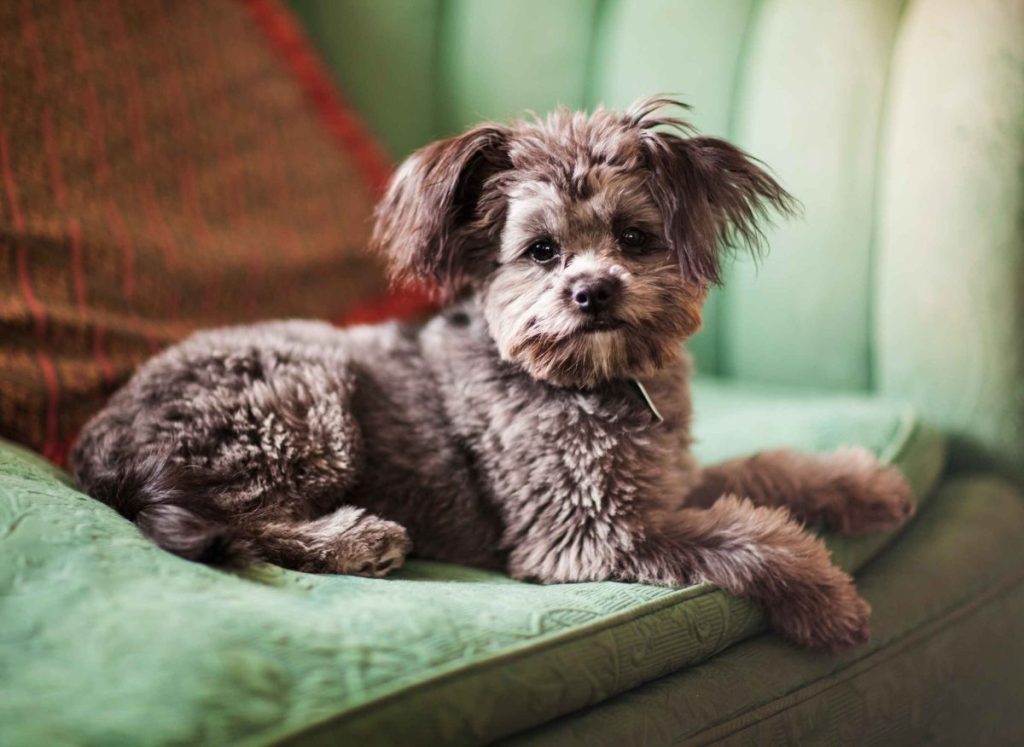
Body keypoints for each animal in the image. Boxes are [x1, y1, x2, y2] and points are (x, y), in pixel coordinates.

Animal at [75, 97, 917, 647]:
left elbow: (763, 472)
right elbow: (744, 534)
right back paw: (360, 537)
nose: (593, 290)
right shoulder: (586, 533)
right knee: (246, 522)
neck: (593, 383)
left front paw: (860, 483)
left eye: (634, 237)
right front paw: (825, 597)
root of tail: (98, 443)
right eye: (541, 251)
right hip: (301, 403)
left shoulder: (664, 483)